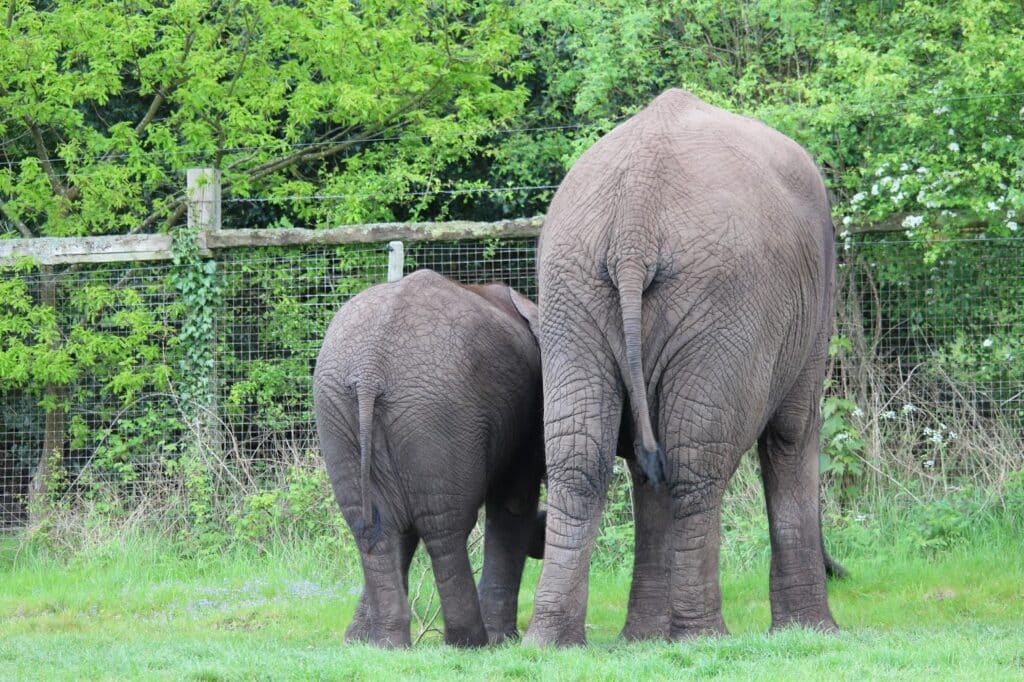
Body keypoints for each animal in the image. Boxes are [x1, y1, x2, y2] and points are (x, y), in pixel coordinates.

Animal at [313, 269, 545, 648]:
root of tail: (370, 369)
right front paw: (502, 640)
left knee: (373, 525)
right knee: (445, 526)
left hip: (341, 410)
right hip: (439, 411)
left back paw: (385, 644)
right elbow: (514, 504)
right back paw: (470, 643)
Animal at [524, 89, 839, 646]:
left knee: (580, 457)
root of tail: (636, 215)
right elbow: (793, 432)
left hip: (570, 287)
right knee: (697, 460)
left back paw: (551, 642)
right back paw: (703, 635)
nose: (839, 570)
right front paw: (816, 633)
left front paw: (645, 639)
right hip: (726, 297)